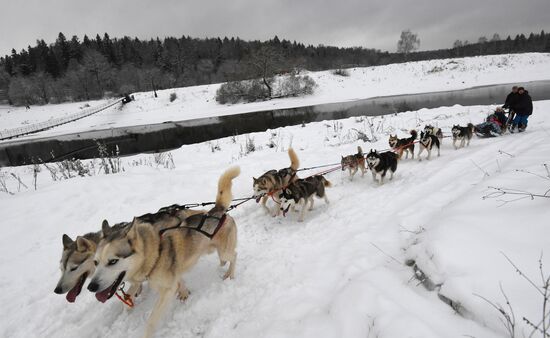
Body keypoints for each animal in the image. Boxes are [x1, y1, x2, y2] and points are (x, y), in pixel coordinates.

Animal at [88, 166, 239, 338]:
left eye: (113, 261)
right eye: (95, 262)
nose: (91, 287)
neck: (155, 253)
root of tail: (216, 210)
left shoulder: (166, 291)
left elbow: (151, 321)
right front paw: (183, 292)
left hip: (225, 250)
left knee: (234, 255)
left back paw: (230, 274)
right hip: (213, 249)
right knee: (224, 257)